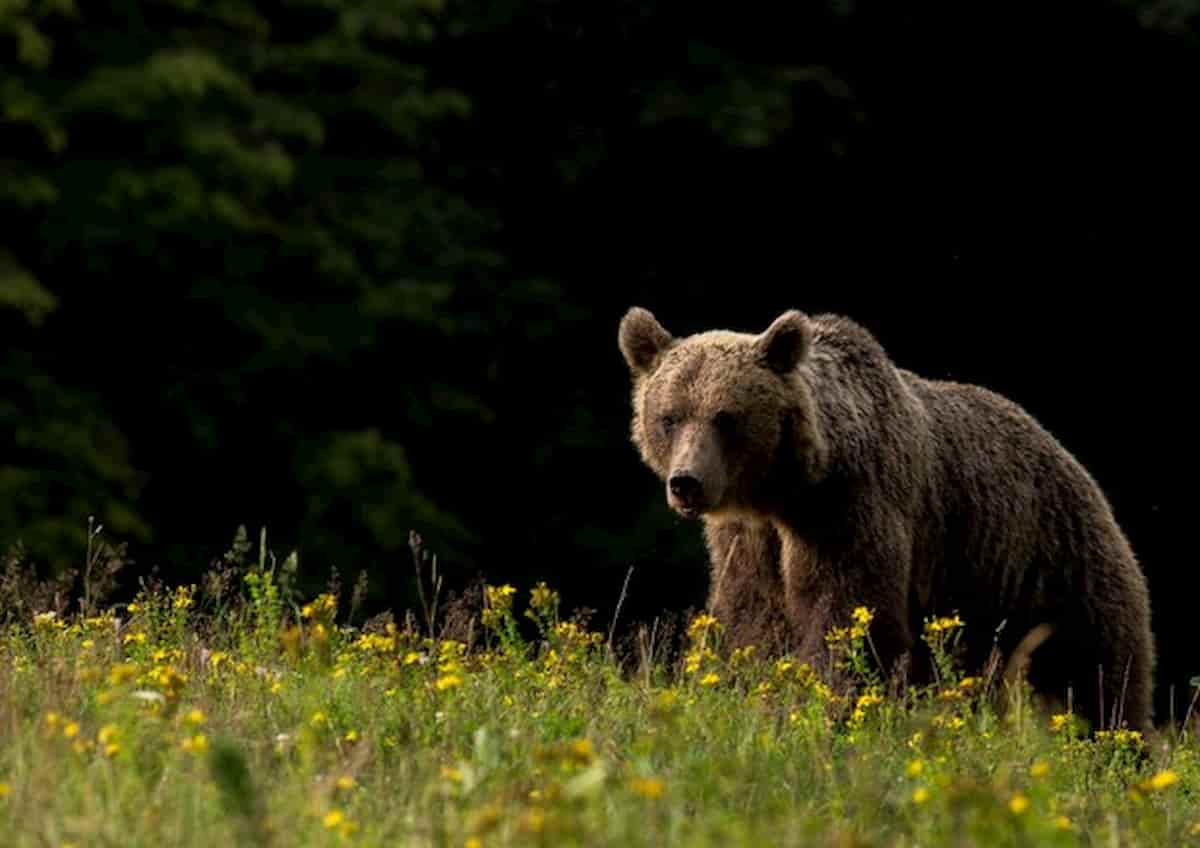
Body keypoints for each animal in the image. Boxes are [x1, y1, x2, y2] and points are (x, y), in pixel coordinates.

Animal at [618, 306, 1155, 733]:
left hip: (1050, 566)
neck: (788, 492)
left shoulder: (852, 509)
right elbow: (755, 620)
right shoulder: (750, 540)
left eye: (726, 417)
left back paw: (1115, 745)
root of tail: (1072, 461)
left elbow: (848, 614)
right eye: (670, 416)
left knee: (1096, 673)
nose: (686, 482)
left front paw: (829, 708)